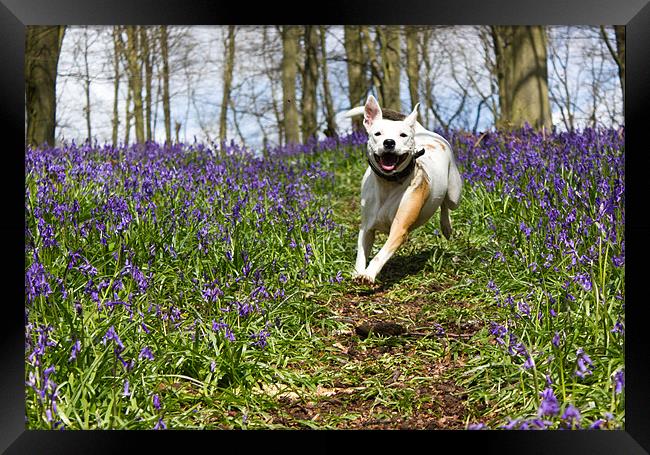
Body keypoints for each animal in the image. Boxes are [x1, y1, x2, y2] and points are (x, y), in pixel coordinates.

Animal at [344, 94, 460, 284]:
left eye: (403, 135)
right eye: (377, 133)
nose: (389, 142)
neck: (388, 183)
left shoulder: (399, 228)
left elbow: (381, 254)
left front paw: (369, 274)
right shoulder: (366, 227)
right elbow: (361, 251)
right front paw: (358, 272)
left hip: (454, 193)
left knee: (446, 203)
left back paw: (446, 226)